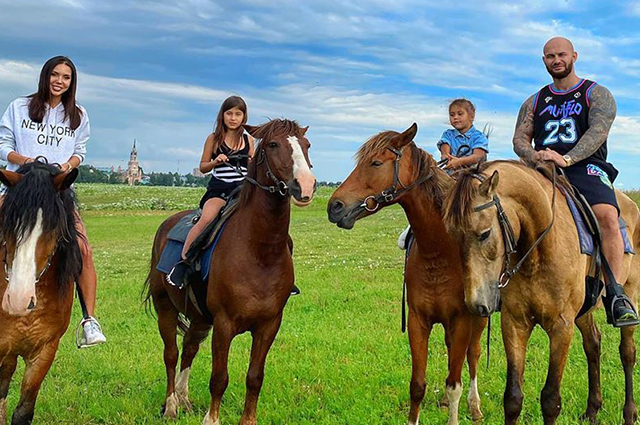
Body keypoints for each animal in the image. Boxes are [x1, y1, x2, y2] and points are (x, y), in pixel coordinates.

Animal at [144, 118, 316, 424]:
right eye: (274, 144)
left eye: (306, 145)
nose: (305, 185)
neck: (259, 253)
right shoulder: (224, 324)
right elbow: (219, 378)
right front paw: (211, 418)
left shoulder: (269, 325)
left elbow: (255, 377)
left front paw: (249, 419)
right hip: (166, 308)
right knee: (171, 354)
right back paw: (172, 405)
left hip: (200, 318)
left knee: (189, 348)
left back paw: (184, 400)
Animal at [330, 123, 484, 424]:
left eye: (376, 163)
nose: (335, 207)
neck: (438, 251)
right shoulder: (418, 320)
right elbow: (418, 385)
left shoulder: (462, 320)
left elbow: (455, 383)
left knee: (472, 357)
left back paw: (474, 406)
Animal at [442, 160, 640, 424]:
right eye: (452, 235)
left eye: (484, 233)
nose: (476, 304)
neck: (537, 253)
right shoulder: (515, 323)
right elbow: (513, 398)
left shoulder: (561, 327)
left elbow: (550, 400)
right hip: (584, 310)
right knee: (593, 344)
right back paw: (592, 410)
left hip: (630, 295)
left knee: (627, 352)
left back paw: (629, 413)